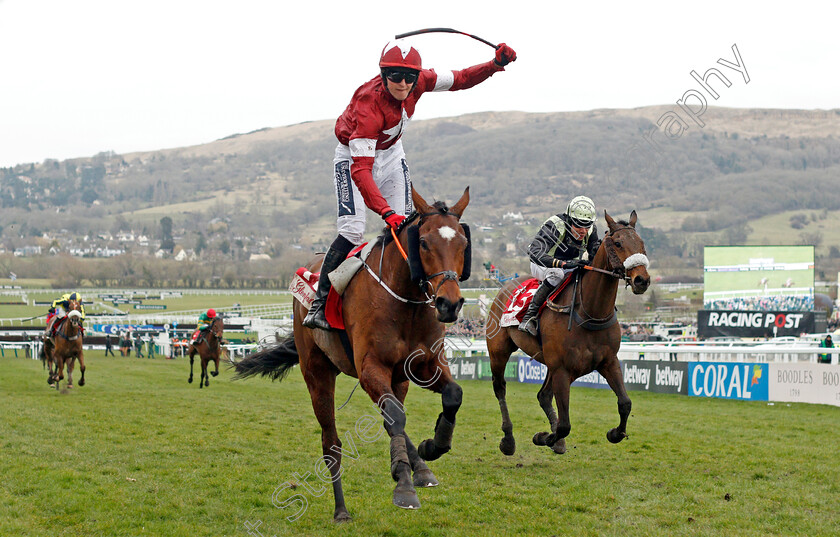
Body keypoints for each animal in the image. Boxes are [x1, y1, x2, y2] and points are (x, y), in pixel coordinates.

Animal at [235, 187, 472, 520]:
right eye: (424, 242)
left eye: (463, 243)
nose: (448, 304)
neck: (405, 301)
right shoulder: (371, 366)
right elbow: (394, 418)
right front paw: (404, 485)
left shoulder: (423, 365)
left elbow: (452, 395)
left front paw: (432, 448)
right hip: (317, 373)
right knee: (331, 443)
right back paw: (341, 510)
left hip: (397, 379)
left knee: (391, 418)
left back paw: (421, 468)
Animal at [486, 211, 648, 454]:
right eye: (618, 243)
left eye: (642, 243)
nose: (642, 280)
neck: (590, 312)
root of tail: (504, 287)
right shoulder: (562, 369)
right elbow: (564, 425)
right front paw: (545, 437)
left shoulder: (608, 362)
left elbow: (625, 403)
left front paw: (615, 433)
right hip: (499, 351)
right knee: (500, 388)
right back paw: (508, 439)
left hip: (548, 361)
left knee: (543, 396)